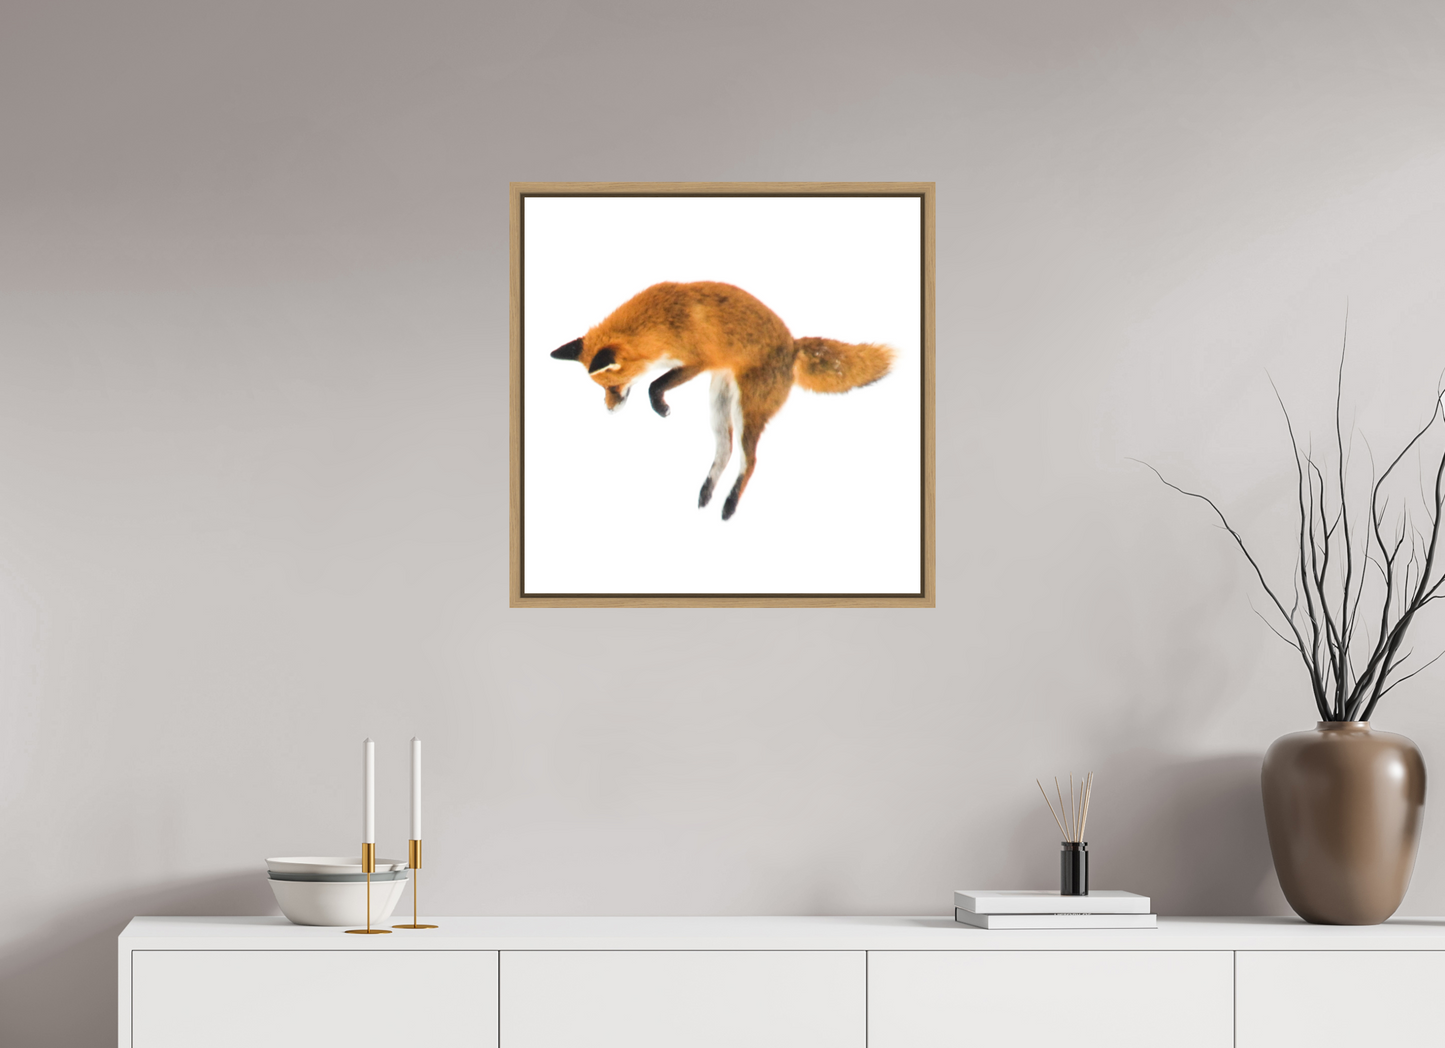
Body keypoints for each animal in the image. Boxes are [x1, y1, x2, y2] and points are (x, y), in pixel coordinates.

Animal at [550, 281, 894, 520]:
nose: (609, 410)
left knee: (749, 461)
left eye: (612, 385)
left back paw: (729, 505)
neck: (662, 322)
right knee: (726, 452)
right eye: (602, 389)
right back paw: (707, 493)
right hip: (718, 406)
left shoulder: (699, 361)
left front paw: (661, 407)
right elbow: (655, 383)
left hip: (746, 411)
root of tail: (793, 346)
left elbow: (654, 385)